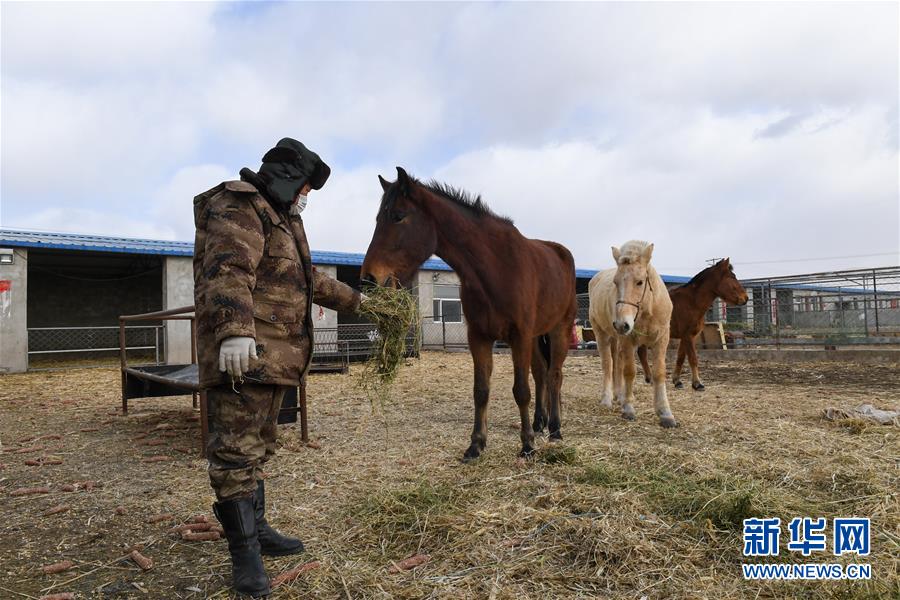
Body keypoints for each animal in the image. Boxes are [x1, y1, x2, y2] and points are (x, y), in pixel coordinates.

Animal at [360, 169, 576, 460]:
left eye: (398, 216)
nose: (369, 279)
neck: (496, 266)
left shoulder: (518, 336)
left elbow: (521, 390)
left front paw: (527, 445)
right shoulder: (479, 337)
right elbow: (481, 390)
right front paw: (476, 444)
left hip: (558, 329)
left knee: (554, 375)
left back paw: (555, 429)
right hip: (535, 335)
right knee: (541, 373)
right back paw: (540, 423)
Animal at [584, 241, 676, 428]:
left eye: (640, 282)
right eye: (615, 282)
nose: (621, 324)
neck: (647, 311)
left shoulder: (661, 339)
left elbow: (659, 372)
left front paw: (665, 413)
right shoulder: (628, 340)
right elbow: (629, 371)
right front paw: (628, 408)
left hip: (617, 339)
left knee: (617, 364)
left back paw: (618, 395)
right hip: (602, 334)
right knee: (608, 364)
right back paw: (607, 399)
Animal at [636, 256, 748, 390]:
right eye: (732, 277)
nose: (746, 298)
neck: (691, 302)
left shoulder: (687, 337)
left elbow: (681, 358)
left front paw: (677, 381)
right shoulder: (688, 336)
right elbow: (693, 359)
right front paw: (697, 383)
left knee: (641, 353)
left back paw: (649, 378)